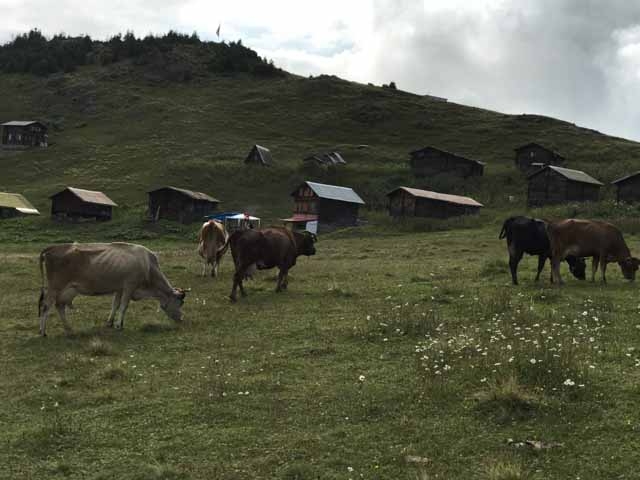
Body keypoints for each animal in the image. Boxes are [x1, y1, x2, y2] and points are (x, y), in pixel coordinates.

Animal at [38, 242, 188, 336]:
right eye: (180, 302)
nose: (181, 319)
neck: (148, 265)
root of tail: (52, 248)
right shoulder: (129, 286)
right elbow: (123, 306)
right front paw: (118, 325)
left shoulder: (119, 288)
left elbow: (115, 305)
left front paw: (110, 322)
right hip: (55, 287)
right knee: (46, 306)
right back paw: (43, 332)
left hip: (67, 291)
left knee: (59, 306)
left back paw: (69, 329)